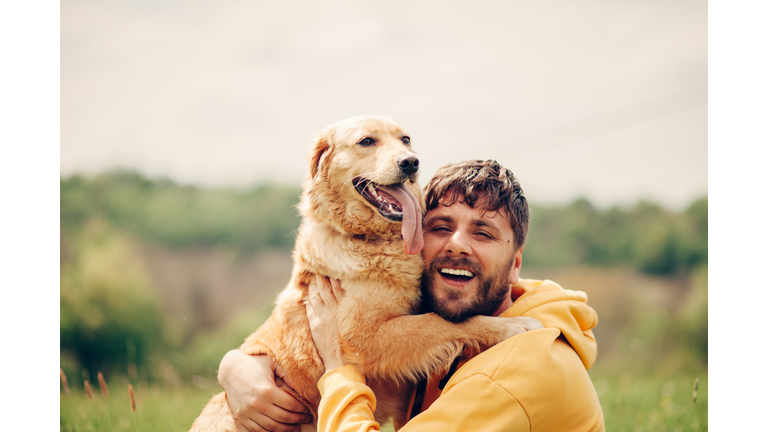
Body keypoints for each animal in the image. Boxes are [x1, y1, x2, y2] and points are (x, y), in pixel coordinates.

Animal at [191, 115, 540, 432]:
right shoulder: (362, 336)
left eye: (405, 140)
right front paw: (515, 325)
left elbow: (440, 321)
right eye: (367, 141)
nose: (411, 163)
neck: (369, 240)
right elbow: (441, 322)